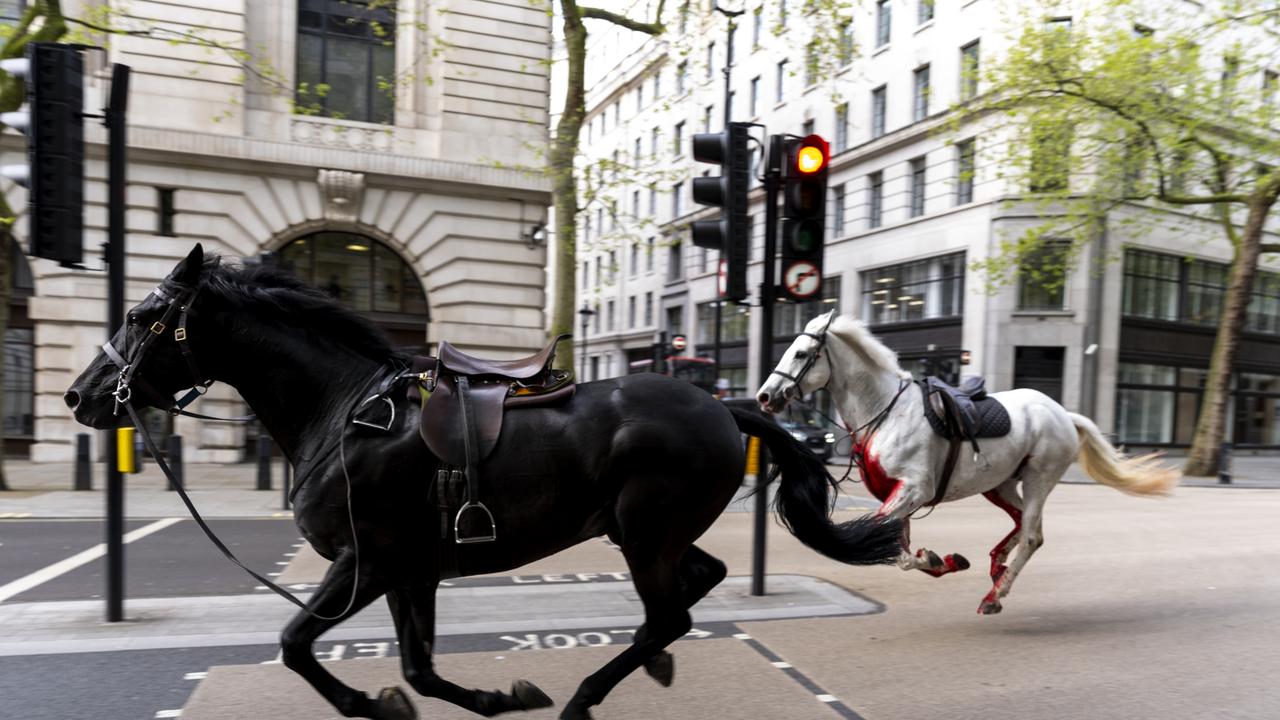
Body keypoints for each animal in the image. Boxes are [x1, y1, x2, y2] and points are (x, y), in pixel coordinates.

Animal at [62, 245, 901, 717]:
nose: (78, 395)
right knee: (694, 588)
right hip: (642, 532)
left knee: (668, 613)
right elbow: (419, 668)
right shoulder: (410, 571)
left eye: (139, 316)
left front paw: (373, 705)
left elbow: (298, 644)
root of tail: (722, 405)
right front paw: (490, 696)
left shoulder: (368, 562)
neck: (344, 411)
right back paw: (646, 661)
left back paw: (588, 696)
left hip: (644, 531)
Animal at [747, 308, 1177, 609]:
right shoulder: (900, 495)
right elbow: (901, 551)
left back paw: (995, 595)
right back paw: (997, 567)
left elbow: (895, 548)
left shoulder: (914, 489)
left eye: (802, 353)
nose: (765, 396)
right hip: (1000, 484)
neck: (886, 411)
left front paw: (938, 559)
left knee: (1032, 535)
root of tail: (1062, 413)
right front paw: (942, 560)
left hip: (1039, 478)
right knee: (1021, 524)